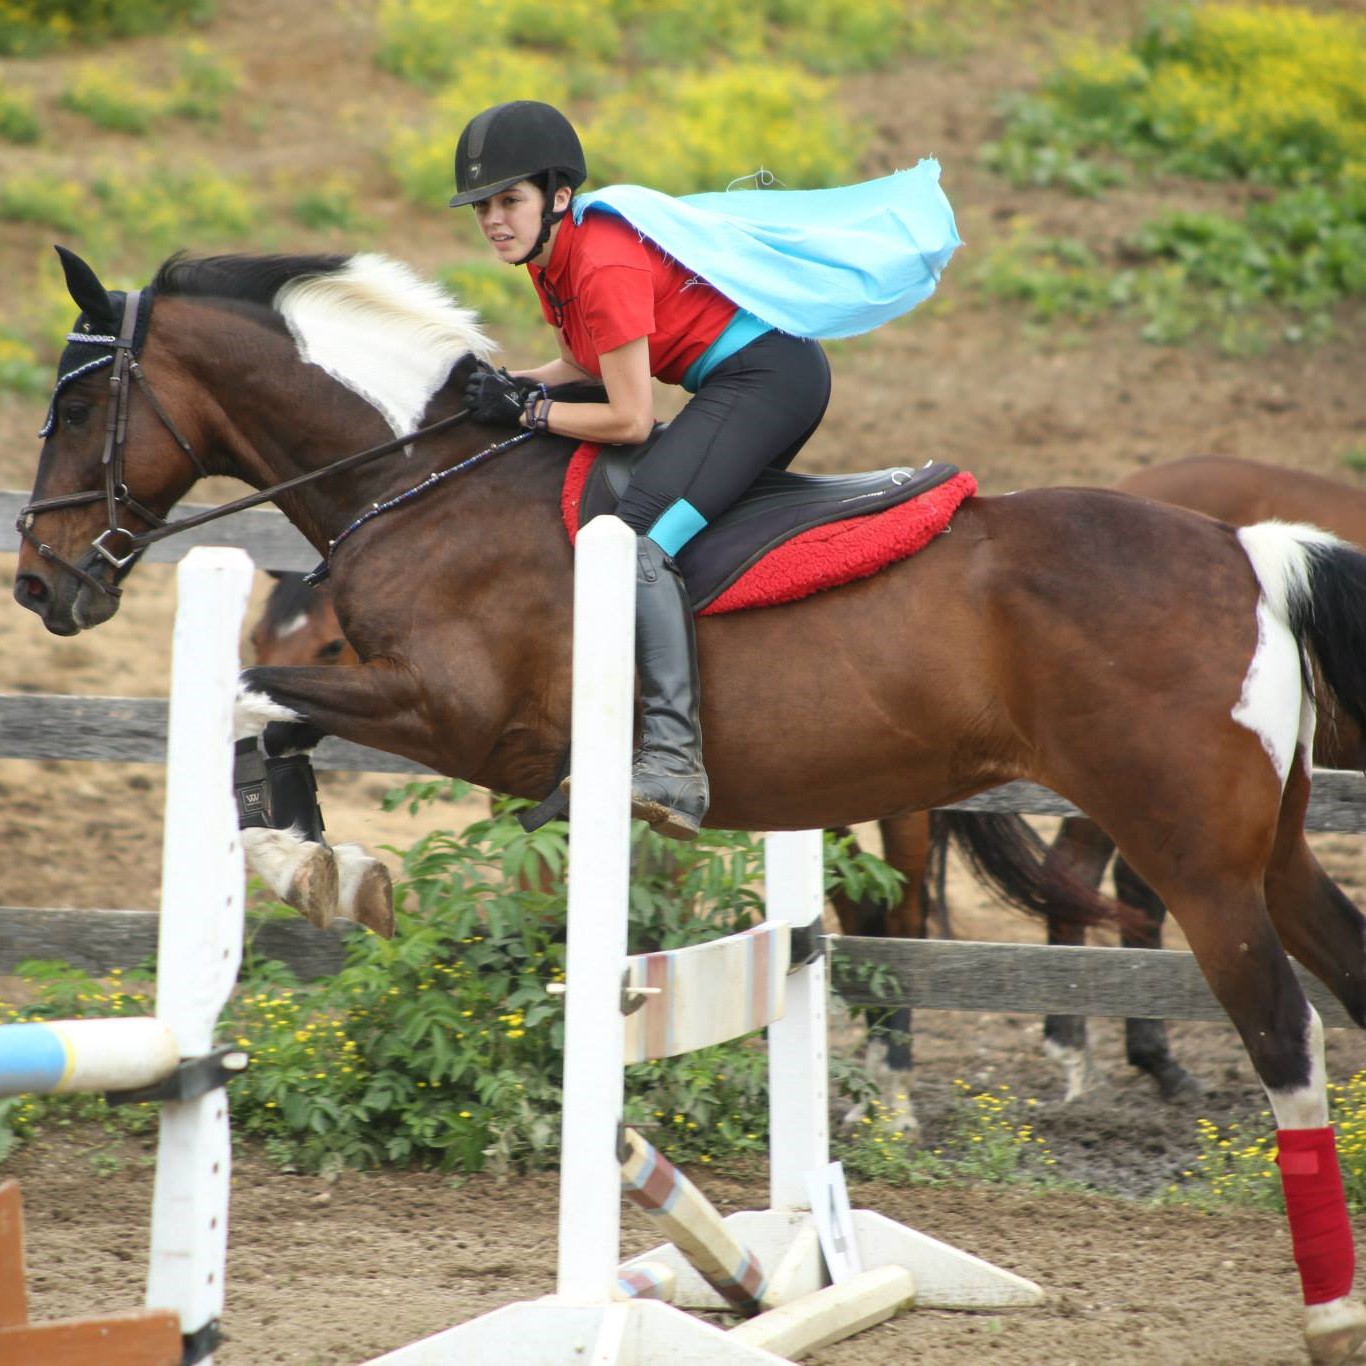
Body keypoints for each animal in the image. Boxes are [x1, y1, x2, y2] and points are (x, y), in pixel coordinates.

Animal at [16, 254, 1366, 1355]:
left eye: (77, 407)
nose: (38, 583)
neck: (423, 482)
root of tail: (1248, 552)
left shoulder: (456, 717)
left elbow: (249, 695)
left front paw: (308, 861)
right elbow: (274, 716)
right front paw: (316, 861)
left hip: (1199, 863)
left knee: (1282, 1034)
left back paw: (1327, 1312)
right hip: (1274, 851)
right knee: (1341, 967)